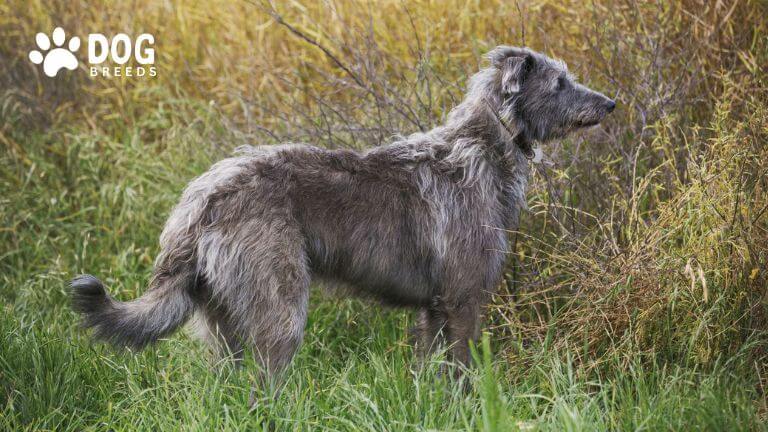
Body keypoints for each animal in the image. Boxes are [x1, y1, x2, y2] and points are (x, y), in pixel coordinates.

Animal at [70, 47, 612, 376]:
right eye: (560, 82)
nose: (611, 103)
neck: (483, 144)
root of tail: (200, 199)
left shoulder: (433, 308)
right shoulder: (462, 299)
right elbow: (462, 370)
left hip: (223, 323)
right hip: (279, 309)